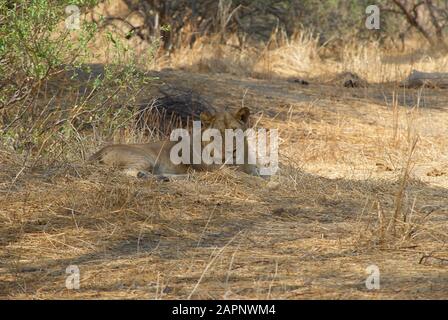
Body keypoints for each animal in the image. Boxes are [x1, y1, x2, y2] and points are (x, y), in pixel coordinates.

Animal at [88, 107, 260, 178]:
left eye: (234, 130)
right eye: (216, 134)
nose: (229, 150)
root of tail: (96, 152)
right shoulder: (218, 170)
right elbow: (243, 176)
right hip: (143, 158)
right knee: (126, 172)